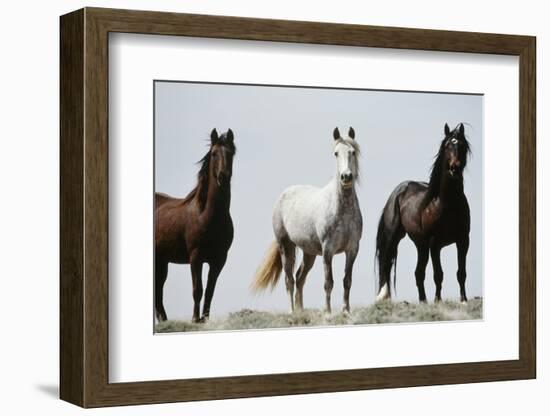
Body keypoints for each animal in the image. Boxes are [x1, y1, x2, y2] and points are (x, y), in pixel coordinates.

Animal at [154, 128, 236, 324]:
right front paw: (194, 319)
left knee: (159, 289)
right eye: (214, 154)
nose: (223, 177)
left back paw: (164, 321)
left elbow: (210, 291)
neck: (207, 216)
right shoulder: (195, 257)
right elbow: (197, 289)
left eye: (231, 153)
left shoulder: (219, 259)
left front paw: (204, 320)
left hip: (161, 260)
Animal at [252, 127, 364, 312]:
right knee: (289, 279)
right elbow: (328, 282)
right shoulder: (328, 250)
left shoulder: (352, 249)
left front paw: (346, 311)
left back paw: (300, 310)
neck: (342, 210)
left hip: (309, 253)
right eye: (335, 153)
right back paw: (292, 311)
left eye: (353, 152)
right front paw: (328, 312)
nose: (346, 177)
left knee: (300, 277)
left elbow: (347, 281)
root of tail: (283, 195)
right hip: (286, 246)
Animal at [378, 122, 472, 302]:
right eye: (447, 145)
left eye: (462, 145)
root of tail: (398, 192)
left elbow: (461, 273)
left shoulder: (463, 240)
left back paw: (423, 301)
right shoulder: (435, 244)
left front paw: (463, 299)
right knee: (386, 265)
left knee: (418, 273)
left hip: (421, 245)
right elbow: (438, 274)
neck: (447, 204)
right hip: (395, 239)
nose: (454, 168)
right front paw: (438, 301)